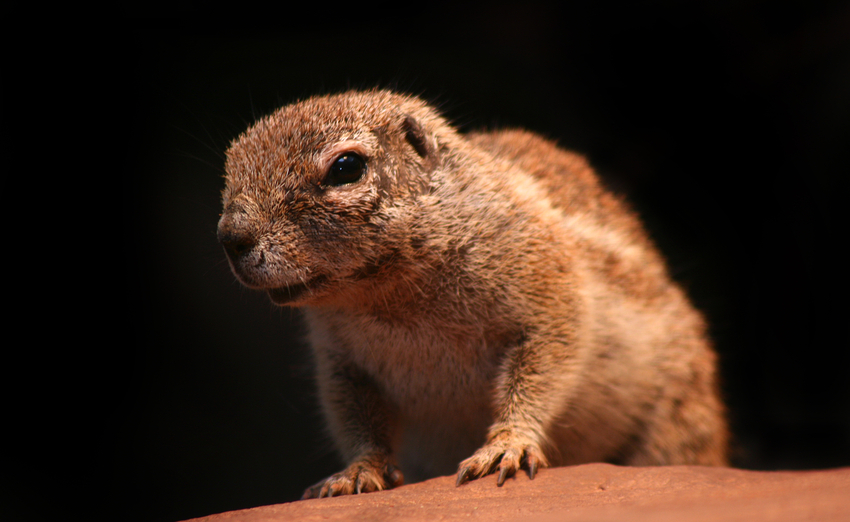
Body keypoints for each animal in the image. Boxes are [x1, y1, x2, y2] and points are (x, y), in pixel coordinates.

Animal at [215, 88, 724, 496]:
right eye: (229, 165)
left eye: (346, 167)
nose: (230, 237)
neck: (393, 298)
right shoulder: (340, 363)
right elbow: (357, 419)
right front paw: (358, 471)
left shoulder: (550, 296)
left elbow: (542, 373)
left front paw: (506, 445)